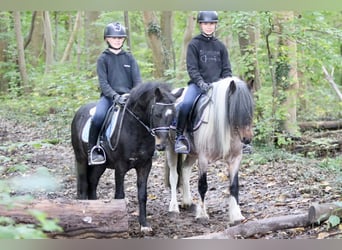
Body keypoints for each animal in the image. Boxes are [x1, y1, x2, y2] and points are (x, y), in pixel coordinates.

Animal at [71, 82, 180, 232]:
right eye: (157, 114)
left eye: (174, 115)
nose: (162, 145)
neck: (136, 129)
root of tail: (79, 111)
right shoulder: (120, 167)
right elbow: (119, 196)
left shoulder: (145, 166)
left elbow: (142, 195)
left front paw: (144, 225)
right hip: (81, 159)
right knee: (83, 187)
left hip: (101, 165)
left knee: (92, 182)